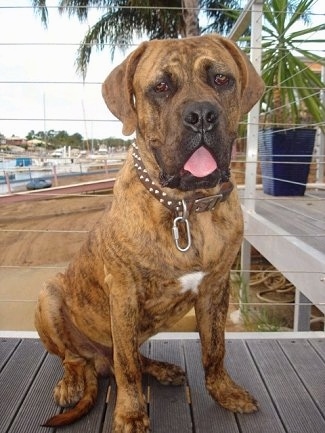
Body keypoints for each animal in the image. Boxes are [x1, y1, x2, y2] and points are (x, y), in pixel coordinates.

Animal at [34, 34, 264, 432]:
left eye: (222, 79)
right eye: (161, 87)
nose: (201, 115)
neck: (184, 207)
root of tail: (94, 361)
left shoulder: (216, 288)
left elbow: (215, 348)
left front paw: (224, 391)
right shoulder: (123, 293)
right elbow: (126, 366)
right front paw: (130, 414)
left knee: (127, 359)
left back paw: (160, 369)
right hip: (48, 297)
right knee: (78, 358)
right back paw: (72, 382)